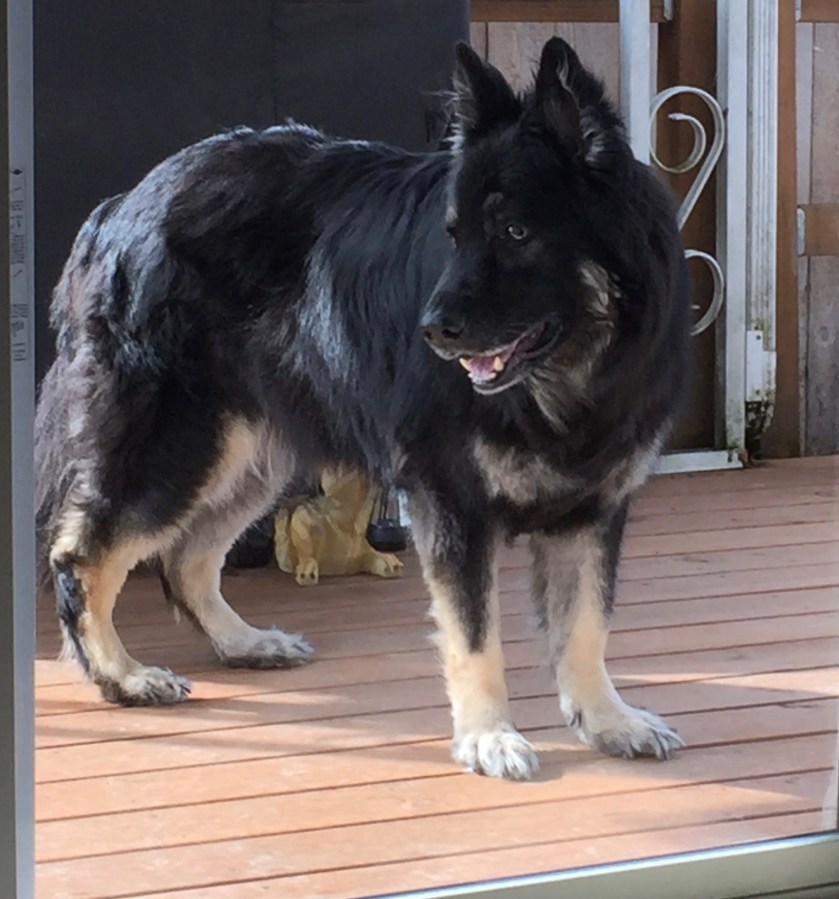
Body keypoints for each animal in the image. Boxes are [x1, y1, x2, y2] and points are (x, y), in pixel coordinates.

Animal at [35, 38, 692, 780]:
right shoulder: (452, 503)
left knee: (186, 557)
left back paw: (243, 643)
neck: (571, 373)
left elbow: (586, 625)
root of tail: (124, 203)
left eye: (516, 231)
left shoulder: (592, 509)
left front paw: (606, 721)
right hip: (180, 450)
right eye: (455, 234)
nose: (430, 332)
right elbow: (476, 634)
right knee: (83, 553)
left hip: (252, 459)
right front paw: (488, 735)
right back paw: (121, 677)